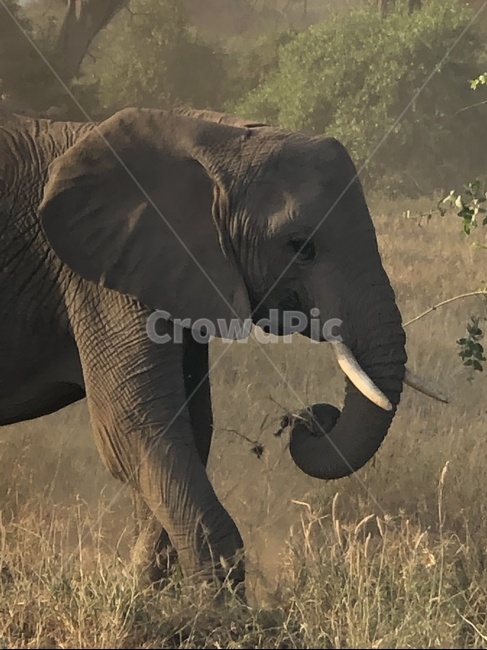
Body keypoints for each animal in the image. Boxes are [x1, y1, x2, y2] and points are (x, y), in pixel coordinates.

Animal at [0, 105, 447, 592]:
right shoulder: (94, 279)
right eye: (300, 248)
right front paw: (217, 610)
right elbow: (134, 429)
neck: (209, 136)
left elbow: (190, 429)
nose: (308, 420)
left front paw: (142, 594)